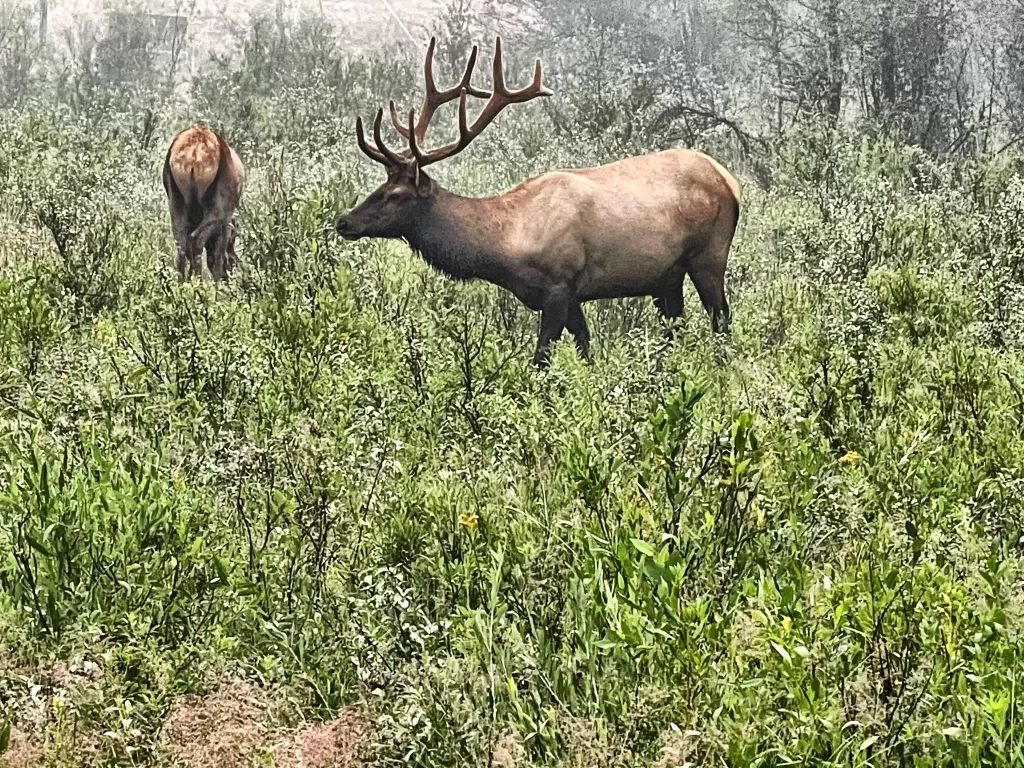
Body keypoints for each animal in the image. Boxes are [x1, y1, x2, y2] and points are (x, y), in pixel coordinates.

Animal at [163, 125, 245, 281]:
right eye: (233, 241)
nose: (233, 264)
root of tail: (194, 154)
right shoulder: (225, 225)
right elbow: (217, 256)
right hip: (217, 212)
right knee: (195, 240)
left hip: (176, 204)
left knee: (181, 245)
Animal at [334, 38, 741, 367]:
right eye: (380, 185)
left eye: (396, 195)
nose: (344, 221)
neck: (505, 247)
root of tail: (730, 181)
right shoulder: (572, 296)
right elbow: (585, 349)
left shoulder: (559, 284)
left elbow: (542, 357)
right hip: (666, 276)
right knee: (676, 327)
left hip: (709, 255)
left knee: (722, 321)